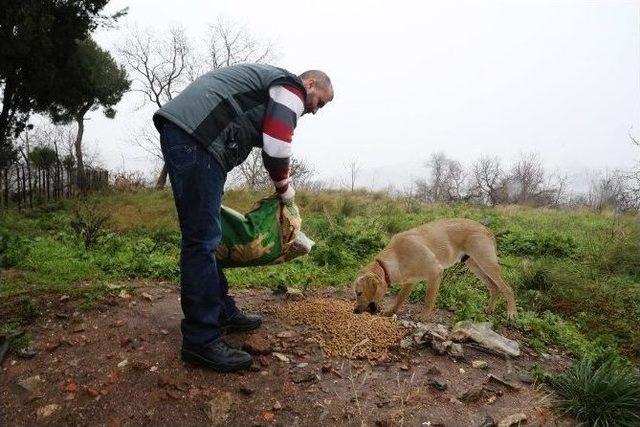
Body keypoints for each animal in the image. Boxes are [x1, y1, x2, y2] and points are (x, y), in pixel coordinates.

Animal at [352, 219, 516, 322]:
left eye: (359, 293)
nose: (354, 311)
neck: (396, 256)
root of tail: (486, 228)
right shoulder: (410, 282)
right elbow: (399, 299)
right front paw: (390, 312)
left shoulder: (435, 273)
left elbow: (428, 300)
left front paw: (424, 317)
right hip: (475, 266)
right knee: (494, 287)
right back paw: (489, 309)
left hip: (487, 263)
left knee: (507, 288)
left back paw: (512, 313)